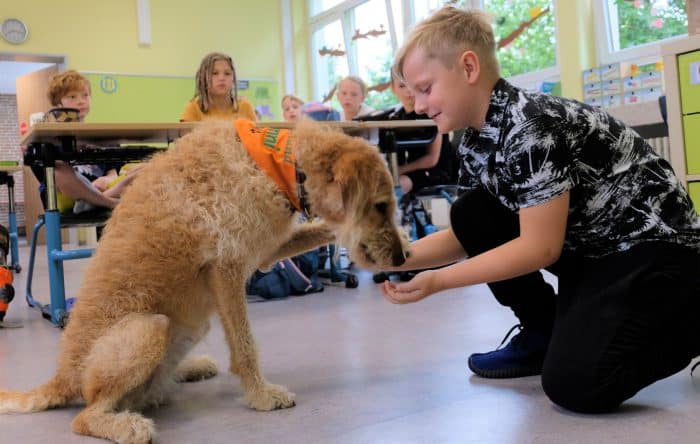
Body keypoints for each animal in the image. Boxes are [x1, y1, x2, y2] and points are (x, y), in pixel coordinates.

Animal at [0, 119, 408, 442]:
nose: (401, 260)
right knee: (85, 416)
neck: (276, 165)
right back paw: (127, 426)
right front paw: (261, 395)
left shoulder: (264, 252)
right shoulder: (227, 270)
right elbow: (245, 346)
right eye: (379, 205)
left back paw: (189, 369)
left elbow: (320, 229)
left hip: (190, 324)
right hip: (148, 328)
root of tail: (62, 377)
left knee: (148, 389)